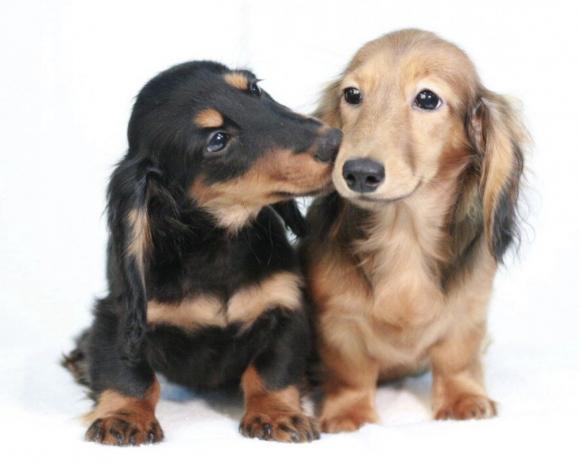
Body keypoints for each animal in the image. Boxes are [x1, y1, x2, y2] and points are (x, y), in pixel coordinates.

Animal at [62, 60, 341, 445]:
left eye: (253, 90)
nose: (337, 142)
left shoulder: (285, 307)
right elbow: (131, 378)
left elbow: (271, 370)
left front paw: (277, 414)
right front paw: (124, 417)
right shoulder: (118, 317)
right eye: (217, 140)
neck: (217, 246)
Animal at [300, 29, 526, 432]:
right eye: (352, 94)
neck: (404, 231)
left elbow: (457, 359)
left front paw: (463, 399)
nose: (358, 172)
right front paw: (348, 412)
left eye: (427, 98)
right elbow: (350, 373)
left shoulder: (468, 311)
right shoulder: (339, 322)